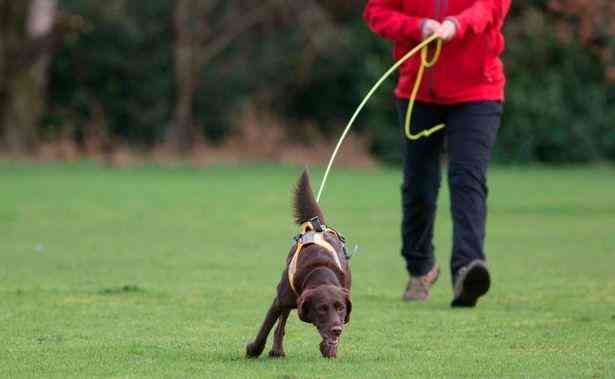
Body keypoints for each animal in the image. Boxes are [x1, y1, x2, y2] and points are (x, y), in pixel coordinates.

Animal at [245, 171, 352, 360]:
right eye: (322, 309)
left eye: (341, 308)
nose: (337, 330)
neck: (321, 271)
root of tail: (318, 226)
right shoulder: (279, 300)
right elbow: (266, 327)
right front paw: (254, 350)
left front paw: (329, 348)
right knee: (280, 325)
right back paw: (277, 350)